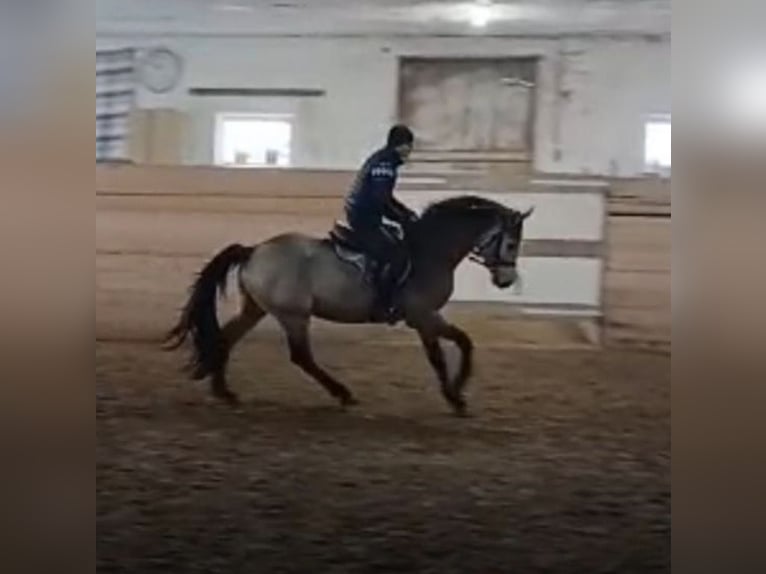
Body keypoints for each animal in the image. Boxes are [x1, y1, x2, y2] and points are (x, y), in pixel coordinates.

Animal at [164, 195, 533, 416]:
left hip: (256, 308)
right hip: (293, 315)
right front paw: (456, 396)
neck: (430, 251)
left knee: (226, 338)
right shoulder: (423, 316)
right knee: (301, 357)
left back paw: (224, 391)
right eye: (511, 243)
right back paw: (342, 393)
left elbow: (455, 348)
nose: (506, 280)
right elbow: (449, 352)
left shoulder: (427, 317)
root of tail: (255, 250)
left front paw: (456, 393)